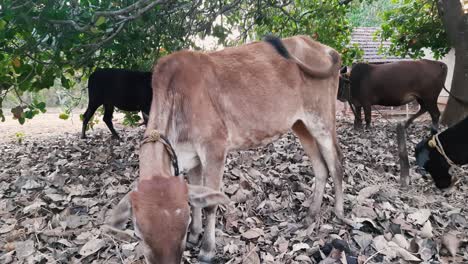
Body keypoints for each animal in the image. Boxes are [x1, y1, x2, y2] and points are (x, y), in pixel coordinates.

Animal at [108, 35, 346, 264]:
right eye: (139, 233)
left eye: (182, 227)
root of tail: (326, 49)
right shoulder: (192, 157)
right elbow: (197, 196)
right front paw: (196, 235)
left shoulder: (214, 148)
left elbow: (210, 204)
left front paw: (206, 250)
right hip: (300, 123)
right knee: (320, 167)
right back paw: (309, 216)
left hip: (322, 119)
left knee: (336, 163)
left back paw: (339, 213)